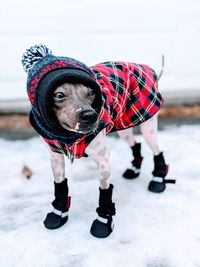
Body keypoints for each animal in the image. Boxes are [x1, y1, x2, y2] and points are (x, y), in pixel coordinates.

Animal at [21, 44, 175, 239]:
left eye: (91, 92)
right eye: (59, 95)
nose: (90, 115)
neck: (68, 137)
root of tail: (149, 69)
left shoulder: (103, 159)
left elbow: (105, 192)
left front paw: (103, 222)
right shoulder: (55, 158)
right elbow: (60, 186)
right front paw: (58, 214)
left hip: (148, 127)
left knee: (157, 151)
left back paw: (158, 179)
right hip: (124, 125)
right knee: (136, 144)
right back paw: (134, 169)